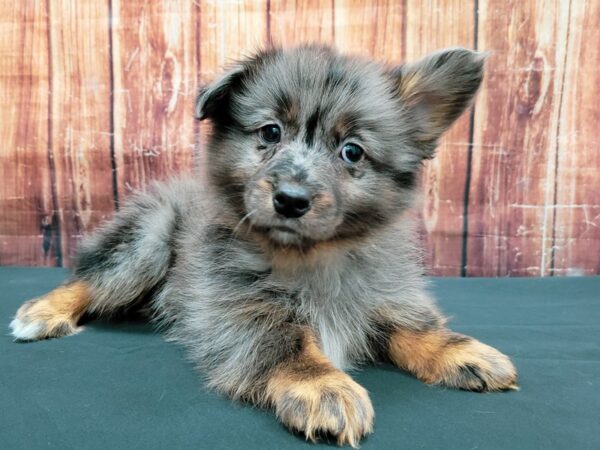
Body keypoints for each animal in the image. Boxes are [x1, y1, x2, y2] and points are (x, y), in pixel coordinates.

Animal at [9, 44, 516, 446]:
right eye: (270, 132)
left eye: (352, 151)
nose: (290, 199)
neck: (312, 256)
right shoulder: (238, 307)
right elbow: (287, 343)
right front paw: (323, 386)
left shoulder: (380, 294)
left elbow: (413, 326)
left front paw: (459, 351)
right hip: (146, 241)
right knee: (89, 280)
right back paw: (43, 312)